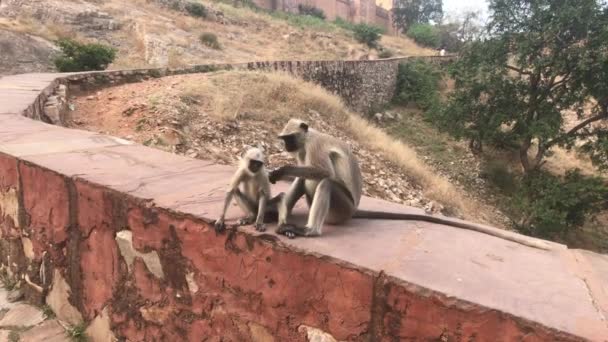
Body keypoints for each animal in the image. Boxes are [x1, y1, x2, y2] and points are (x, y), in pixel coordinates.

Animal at [270, 118, 556, 251]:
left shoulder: (313, 146)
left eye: (288, 138)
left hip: (342, 209)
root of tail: (355, 210)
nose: (285, 146)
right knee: (305, 180)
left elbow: (323, 171)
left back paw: (311, 231)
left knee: (326, 183)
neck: (305, 141)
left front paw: (281, 169)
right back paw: (284, 222)